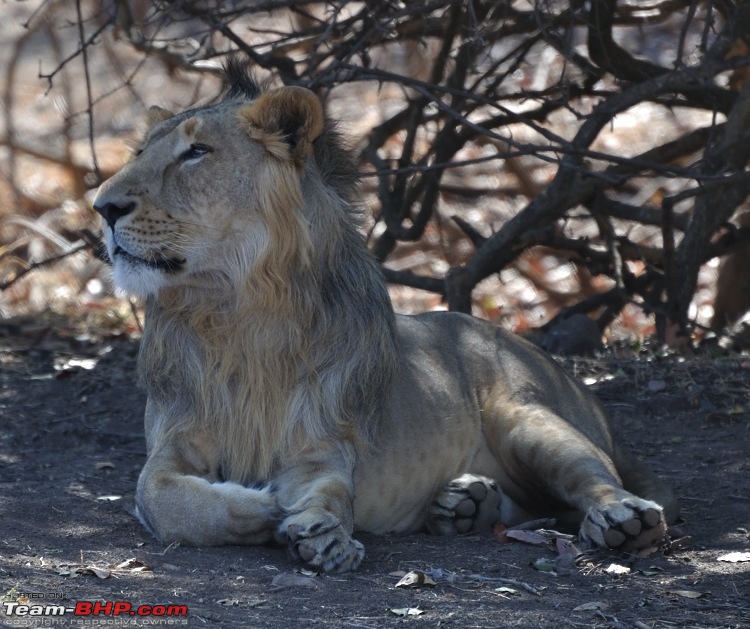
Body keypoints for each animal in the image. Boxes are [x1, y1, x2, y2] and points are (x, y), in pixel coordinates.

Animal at [94, 61, 680, 572]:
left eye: (196, 152)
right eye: (141, 151)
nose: (103, 207)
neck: (239, 312)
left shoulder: (324, 446)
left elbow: (331, 492)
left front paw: (320, 529)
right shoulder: (172, 444)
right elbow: (166, 499)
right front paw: (266, 505)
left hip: (532, 420)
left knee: (595, 481)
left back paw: (622, 519)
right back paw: (465, 501)